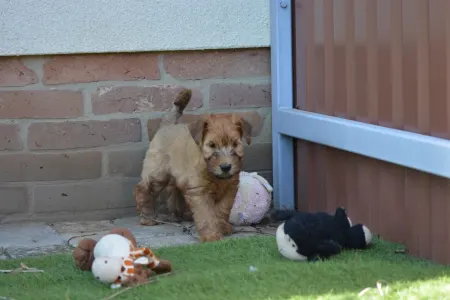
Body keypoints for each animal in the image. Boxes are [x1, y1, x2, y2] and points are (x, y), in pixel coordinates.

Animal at [134, 88, 253, 241]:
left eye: (235, 144)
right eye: (212, 145)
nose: (226, 167)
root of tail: (167, 125)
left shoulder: (230, 189)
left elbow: (222, 210)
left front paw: (222, 226)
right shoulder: (199, 191)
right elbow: (206, 214)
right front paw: (211, 235)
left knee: (174, 189)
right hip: (158, 174)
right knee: (143, 189)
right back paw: (148, 217)